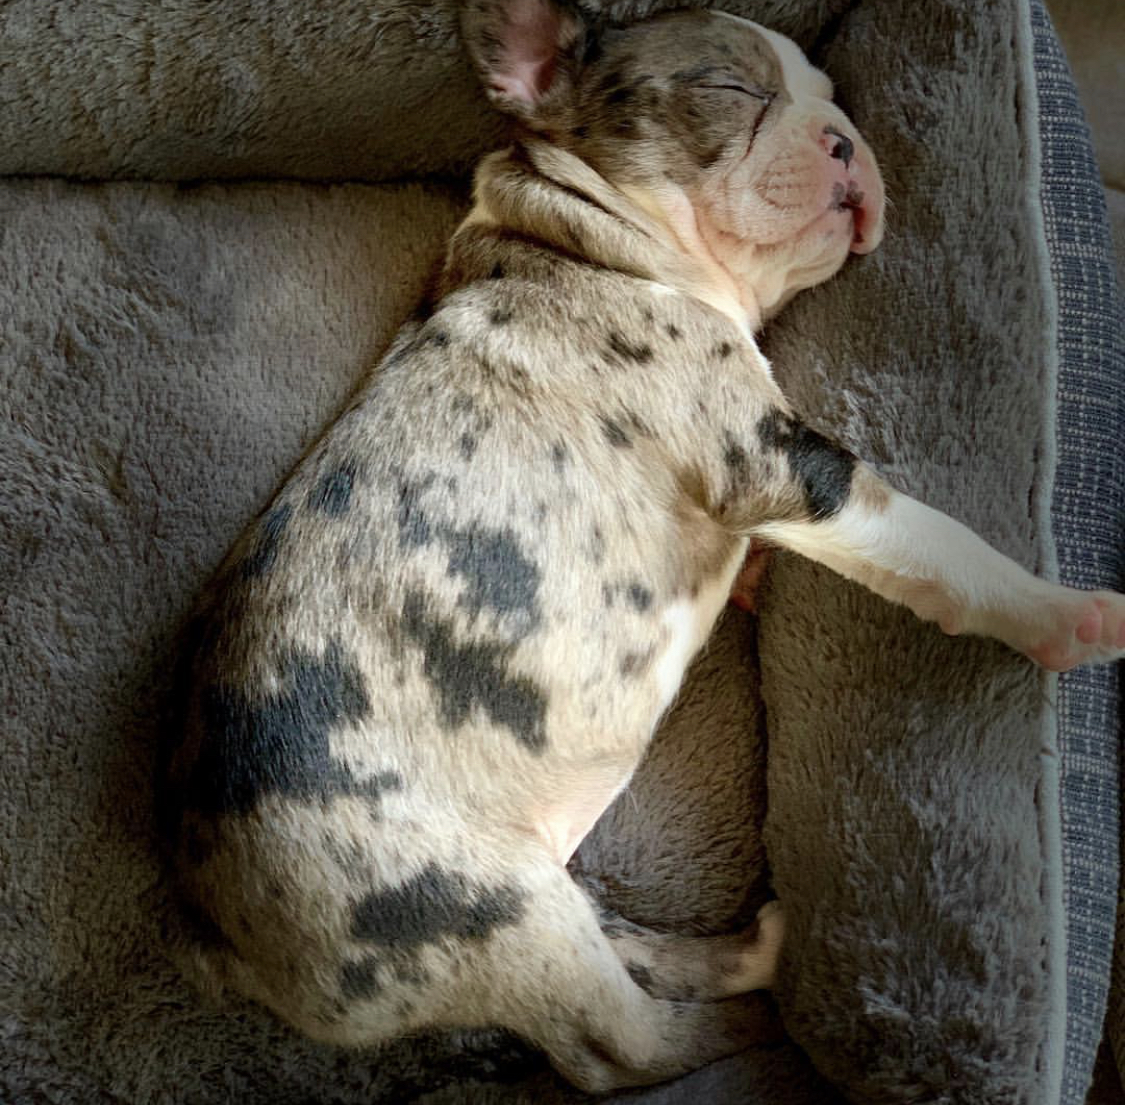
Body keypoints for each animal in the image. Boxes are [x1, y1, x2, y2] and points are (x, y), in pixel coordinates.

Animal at [163, 0, 1125, 1093]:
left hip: (534, 894)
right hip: (471, 906)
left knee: (626, 953)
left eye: (833, 97)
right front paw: (1066, 615)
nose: (846, 141)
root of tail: (207, 931)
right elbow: (941, 546)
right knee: (622, 1046)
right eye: (730, 89)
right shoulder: (781, 463)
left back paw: (752, 954)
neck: (594, 239)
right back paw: (758, 1022)